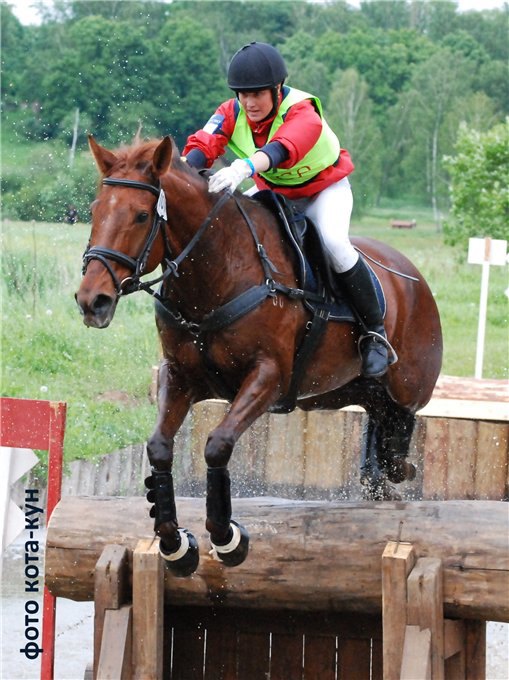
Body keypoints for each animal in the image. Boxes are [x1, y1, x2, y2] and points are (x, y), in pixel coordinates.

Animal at [75, 135, 440, 576]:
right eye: (95, 210)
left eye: (143, 215)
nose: (91, 301)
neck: (216, 272)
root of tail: (413, 276)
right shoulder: (178, 376)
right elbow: (159, 447)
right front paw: (175, 544)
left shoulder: (268, 377)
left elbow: (217, 445)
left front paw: (226, 537)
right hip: (344, 392)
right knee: (380, 436)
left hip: (407, 386)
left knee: (397, 438)